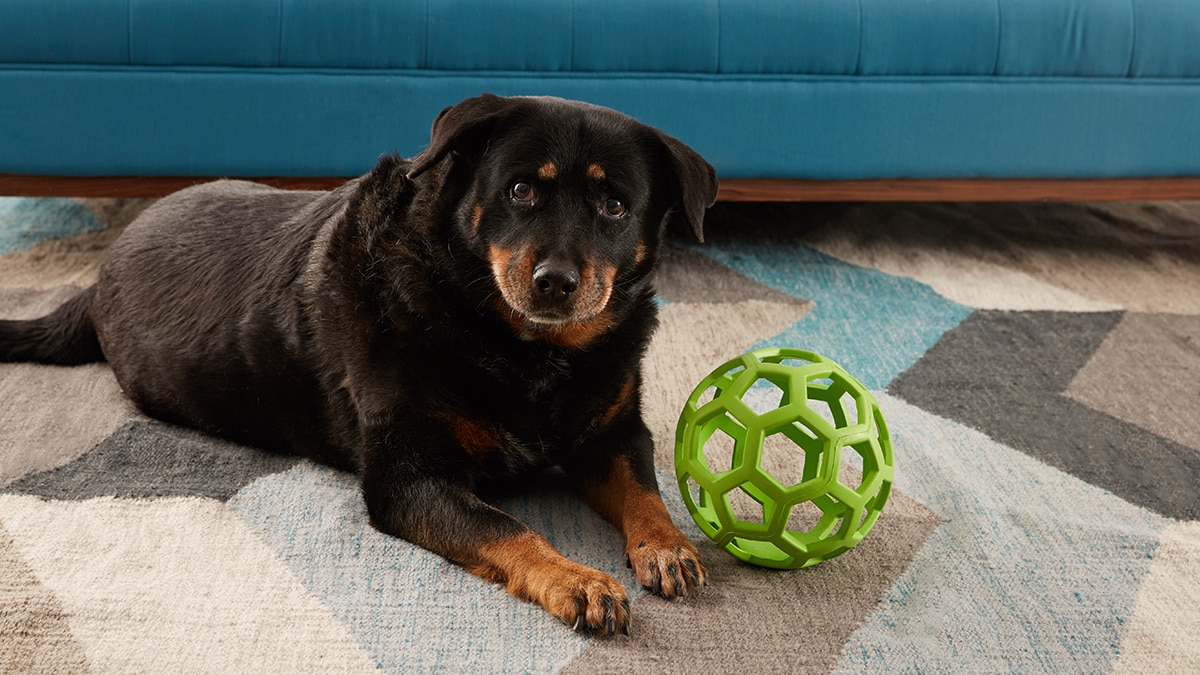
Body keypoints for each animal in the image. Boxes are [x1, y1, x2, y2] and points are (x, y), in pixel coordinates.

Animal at [0, 93, 715, 629]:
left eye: (615, 205)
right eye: (519, 191)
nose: (556, 282)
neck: (525, 348)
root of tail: (96, 278)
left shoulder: (615, 432)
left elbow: (643, 489)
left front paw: (667, 546)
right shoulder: (408, 479)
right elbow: (508, 528)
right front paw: (578, 579)